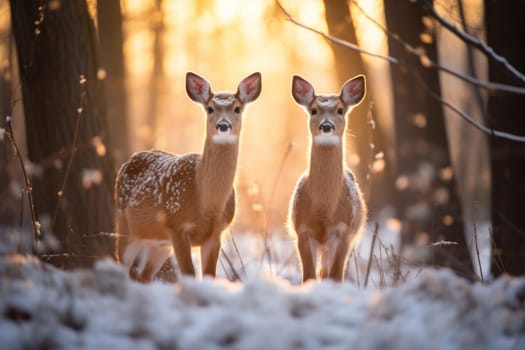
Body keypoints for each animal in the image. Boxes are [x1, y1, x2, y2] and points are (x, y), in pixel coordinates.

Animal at [115, 72, 262, 282]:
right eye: (210, 108)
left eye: (237, 109)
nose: (223, 125)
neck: (206, 203)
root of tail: (130, 159)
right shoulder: (177, 226)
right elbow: (189, 274)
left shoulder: (216, 233)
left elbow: (209, 276)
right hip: (126, 227)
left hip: (160, 244)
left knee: (144, 276)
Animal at [288, 74, 366, 282]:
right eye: (314, 110)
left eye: (340, 110)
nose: (326, 125)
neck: (324, 211)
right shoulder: (302, 230)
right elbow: (308, 276)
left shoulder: (343, 232)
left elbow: (335, 276)